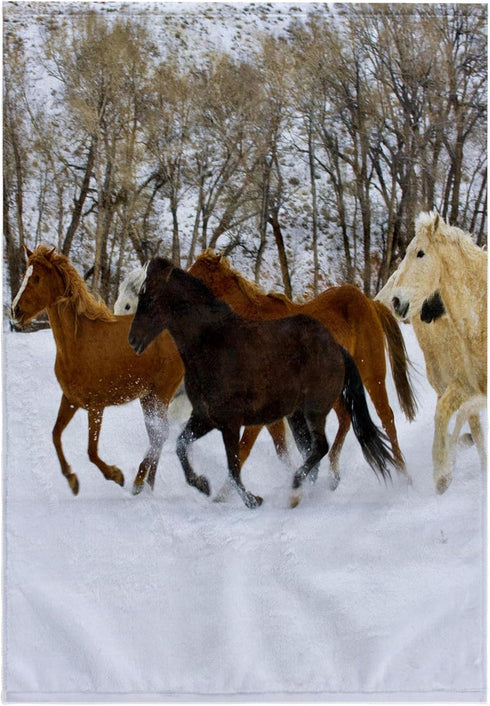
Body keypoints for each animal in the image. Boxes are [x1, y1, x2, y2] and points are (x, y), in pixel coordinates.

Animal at [11, 245, 184, 495]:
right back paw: (147, 484)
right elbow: (55, 434)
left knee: (159, 436)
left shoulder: (96, 407)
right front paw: (72, 480)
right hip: (148, 397)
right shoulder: (70, 399)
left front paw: (116, 474)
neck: (79, 341)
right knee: (157, 436)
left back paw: (138, 483)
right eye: (25, 274)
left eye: (36, 278)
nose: (14, 311)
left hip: (160, 394)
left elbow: (91, 452)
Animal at [117, 253, 416, 491]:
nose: (130, 339)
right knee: (345, 420)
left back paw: (403, 473)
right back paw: (332, 475)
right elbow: (279, 448)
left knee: (385, 418)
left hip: (372, 373)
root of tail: (369, 302)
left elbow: (244, 450)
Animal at [376, 211, 487, 493]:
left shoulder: (467, 388)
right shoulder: (461, 389)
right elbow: (454, 421)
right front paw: (445, 472)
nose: (392, 301)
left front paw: (444, 471)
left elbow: (455, 420)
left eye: (420, 253)